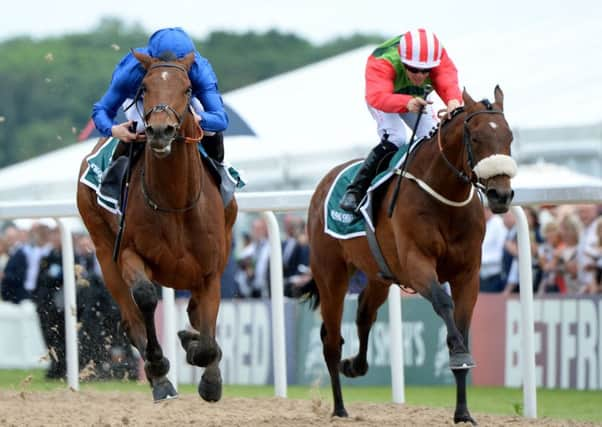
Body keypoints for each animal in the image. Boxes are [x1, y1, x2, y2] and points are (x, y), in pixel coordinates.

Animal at [75, 51, 234, 402]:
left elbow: (207, 331)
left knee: (195, 312)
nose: (160, 130)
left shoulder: (211, 270)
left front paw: (209, 376)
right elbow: (146, 297)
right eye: (144, 88)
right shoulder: (128, 253)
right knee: (130, 316)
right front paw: (160, 366)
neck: (174, 202)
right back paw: (158, 378)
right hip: (103, 251)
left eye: (188, 89)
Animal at [300, 87, 516, 424]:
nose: (501, 195)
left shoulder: (468, 274)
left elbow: (461, 327)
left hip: (379, 274)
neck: (444, 198)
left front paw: (463, 412)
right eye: (476, 137)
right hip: (330, 274)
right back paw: (339, 407)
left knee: (364, 313)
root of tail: (324, 182)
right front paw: (459, 355)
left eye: (509, 137)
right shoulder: (417, 265)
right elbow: (444, 304)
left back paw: (355, 365)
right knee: (332, 341)